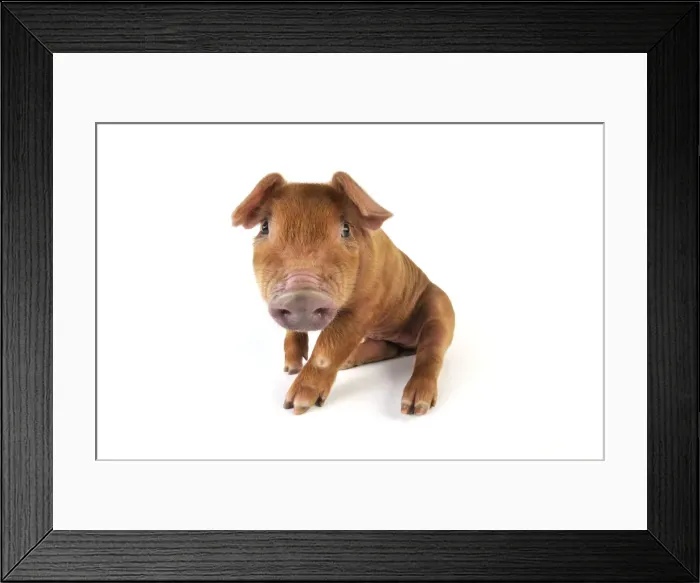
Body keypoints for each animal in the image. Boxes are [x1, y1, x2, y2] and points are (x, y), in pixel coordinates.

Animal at [232, 172, 455, 416]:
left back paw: (414, 407)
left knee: (431, 350)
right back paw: (348, 362)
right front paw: (290, 369)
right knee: (386, 347)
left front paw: (295, 406)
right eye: (264, 227)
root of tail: (407, 345)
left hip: (441, 307)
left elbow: (327, 348)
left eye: (346, 229)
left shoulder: (365, 306)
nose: (301, 295)